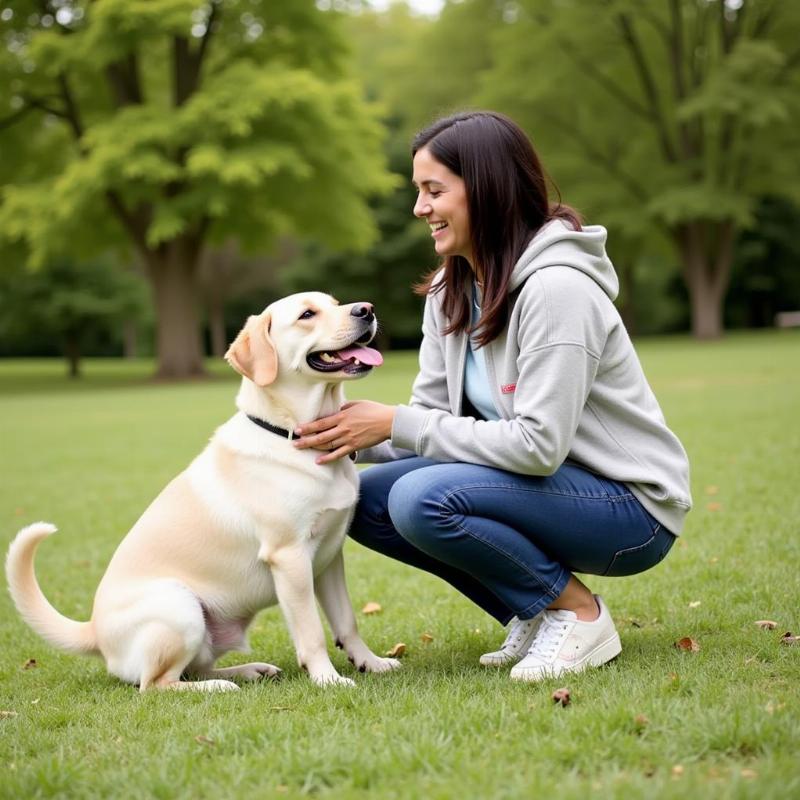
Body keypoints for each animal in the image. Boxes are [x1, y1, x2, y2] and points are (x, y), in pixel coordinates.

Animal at [6, 290, 400, 692]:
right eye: (307, 314)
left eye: (335, 303)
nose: (366, 310)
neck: (288, 434)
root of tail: (94, 633)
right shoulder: (289, 557)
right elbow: (312, 633)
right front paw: (327, 678)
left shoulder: (329, 556)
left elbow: (347, 621)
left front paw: (370, 662)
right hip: (180, 607)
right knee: (157, 684)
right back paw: (220, 687)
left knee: (194, 668)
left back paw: (249, 671)